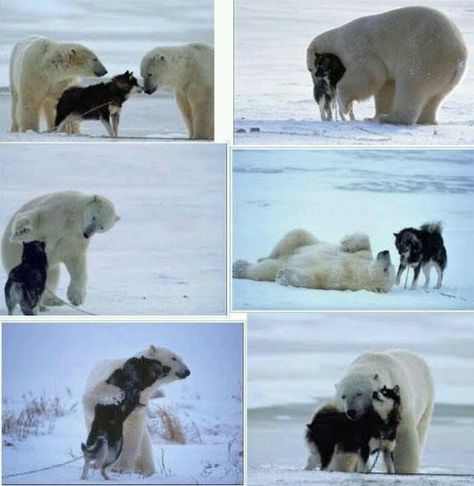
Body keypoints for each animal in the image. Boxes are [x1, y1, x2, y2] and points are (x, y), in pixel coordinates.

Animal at [83, 344, 191, 476]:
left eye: (180, 358)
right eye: (174, 358)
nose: (187, 371)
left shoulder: (140, 406)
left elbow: (132, 434)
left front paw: (121, 468)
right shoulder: (108, 381)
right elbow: (93, 396)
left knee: (144, 451)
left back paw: (145, 470)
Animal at [231, 229, 394, 292]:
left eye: (387, 269)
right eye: (389, 266)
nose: (386, 252)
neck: (357, 269)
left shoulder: (339, 277)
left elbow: (315, 277)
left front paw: (284, 275)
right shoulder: (362, 257)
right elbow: (364, 243)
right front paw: (346, 242)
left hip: (275, 264)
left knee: (265, 269)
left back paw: (238, 267)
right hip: (302, 241)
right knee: (296, 235)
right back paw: (261, 257)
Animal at [308, 6, 466, 124]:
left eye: (311, 68)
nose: (317, 87)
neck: (337, 41)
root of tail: (459, 57)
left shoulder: (357, 48)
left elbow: (370, 76)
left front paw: (344, 106)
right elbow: (386, 85)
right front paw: (375, 113)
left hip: (424, 53)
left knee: (411, 84)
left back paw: (389, 118)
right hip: (444, 74)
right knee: (435, 97)